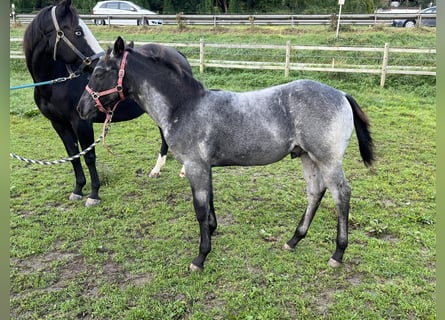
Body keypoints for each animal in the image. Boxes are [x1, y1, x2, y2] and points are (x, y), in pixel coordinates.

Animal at [23, 0, 191, 205]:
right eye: (77, 32)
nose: (97, 64)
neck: (57, 82)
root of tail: (178, 54)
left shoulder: (81, 122)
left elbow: (89, 156)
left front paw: (93, 194)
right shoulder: (59, 124)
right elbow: (73, 156)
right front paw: (78, 189)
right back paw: (156, 170)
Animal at [77, 36, 374, 272]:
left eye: (100, 72)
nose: (81, 108)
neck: (184, 106)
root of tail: (341, 94)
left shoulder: (194, 166)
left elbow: (199, 208)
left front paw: (200, 258)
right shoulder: (204, 166)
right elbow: (209, 203)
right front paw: (212, 231)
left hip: (327, 159)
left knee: (341, 194)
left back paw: (338, 253)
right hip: (306, 157)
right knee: (315, 192)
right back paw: (293, 240)